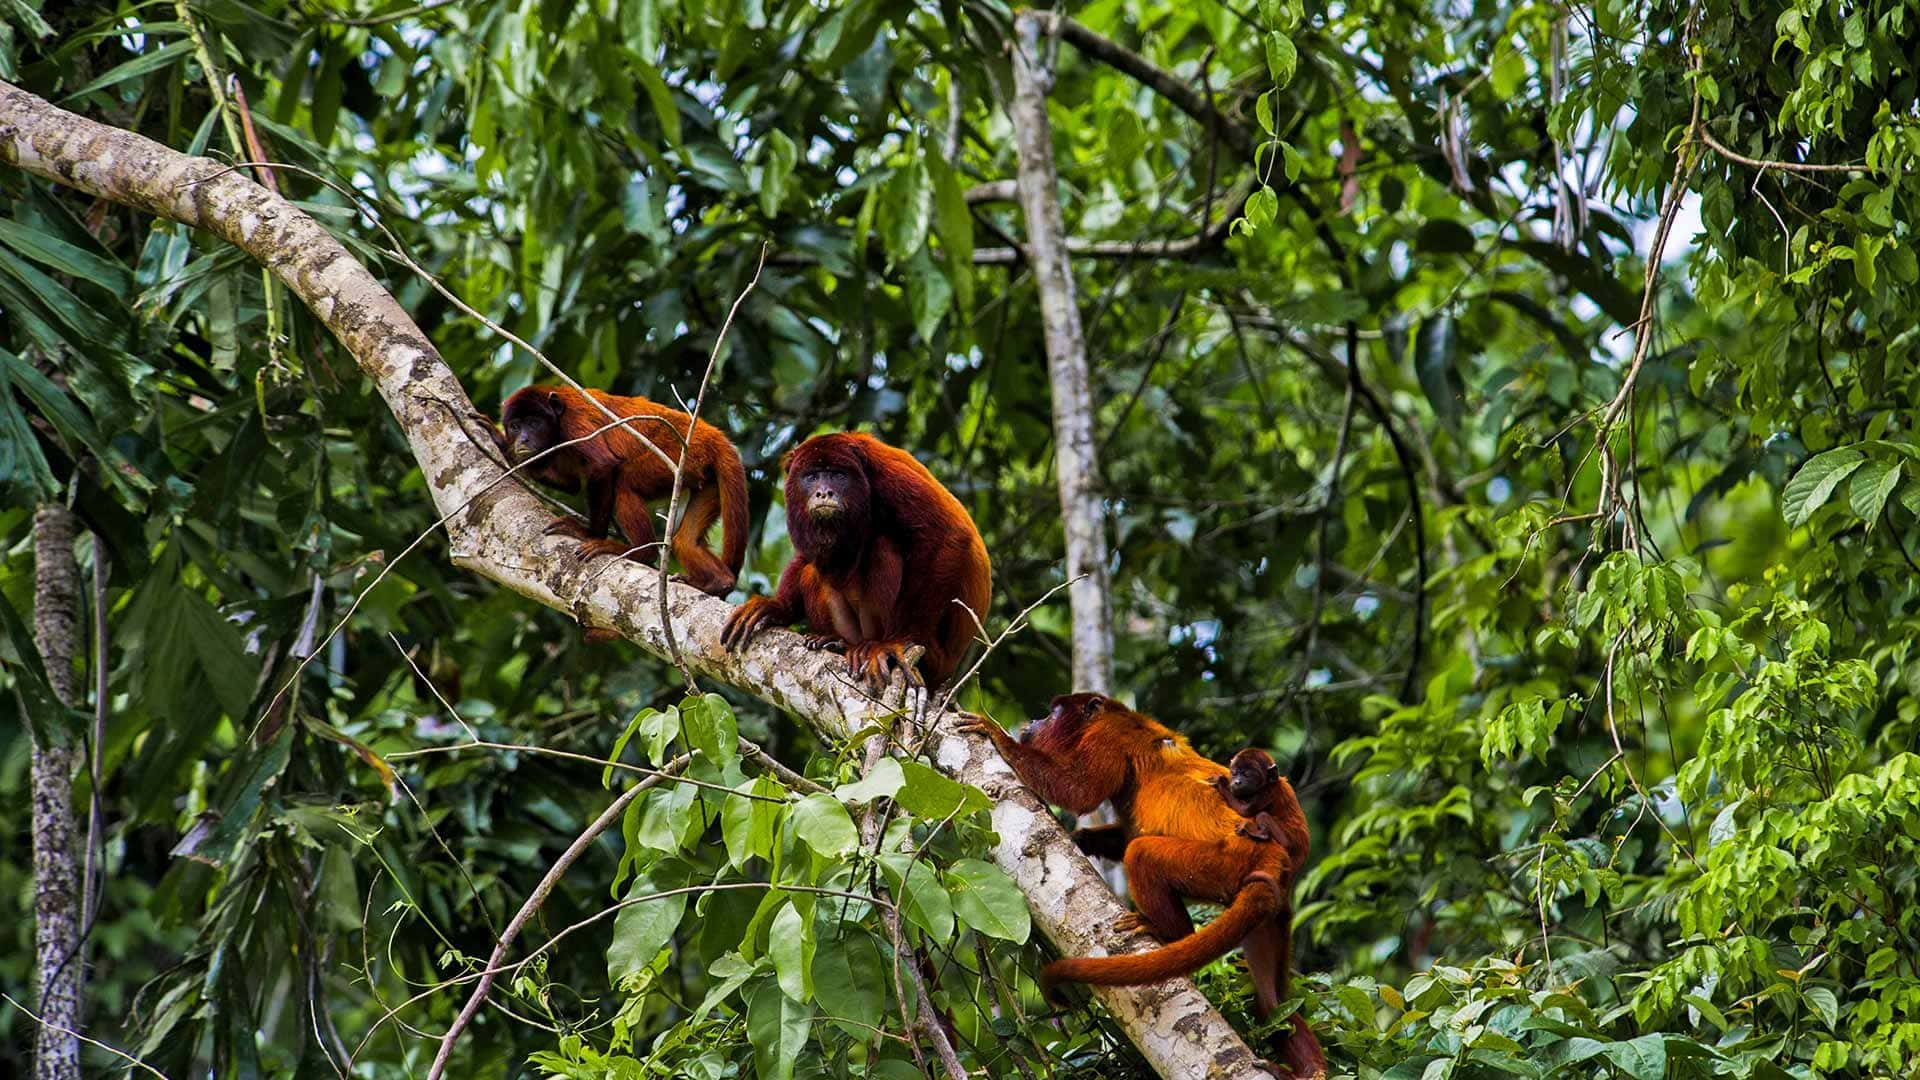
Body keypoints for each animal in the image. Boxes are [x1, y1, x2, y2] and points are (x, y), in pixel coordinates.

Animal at [495, 385, 748, 598]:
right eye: (515, 426)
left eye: (533, 423)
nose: (523, 440)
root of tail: (713, 434)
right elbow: (571, 484)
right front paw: (501, 443)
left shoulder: (575, 422)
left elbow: (603, 465)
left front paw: (588, 533)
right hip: (706, 478)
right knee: (685, 541)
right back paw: (719, 582)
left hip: (681, 454)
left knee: (625, 483)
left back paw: (640, 553)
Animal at [719, 432, 990, 692]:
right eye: (812, 477)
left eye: (837, 475)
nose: (823, 493)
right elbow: (805, 558)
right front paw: (777, 607)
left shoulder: (888, 476)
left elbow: (949, 535)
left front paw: (898, 641)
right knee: (812, 570)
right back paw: (834, 641)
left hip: (932, 657)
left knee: (882, 545)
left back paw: (873, 645)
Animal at [957, 695, 1326, 1077]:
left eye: (1053, 712)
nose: (1033, 720)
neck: (1109, 715)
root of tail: (1271, 852)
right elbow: (1126, 830)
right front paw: (1081, 840)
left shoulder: (1106, 738)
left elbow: (1080, 792)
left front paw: (996, 734)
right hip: (1271, 910)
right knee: (1272, 1001)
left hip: (1223, 862)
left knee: (1142, 853)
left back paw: (1167, 931)